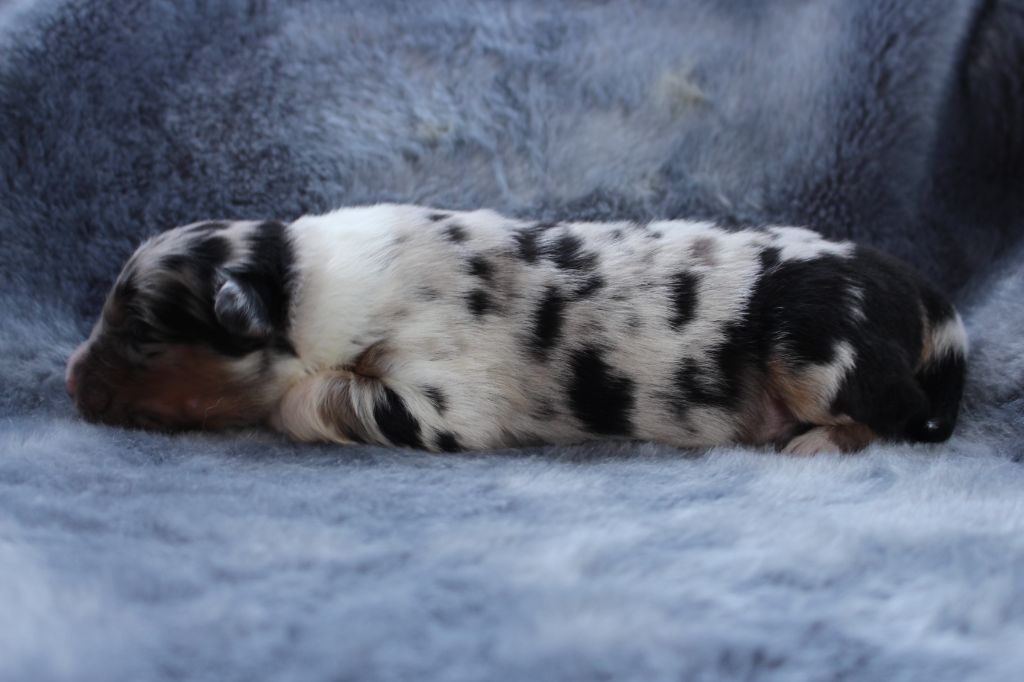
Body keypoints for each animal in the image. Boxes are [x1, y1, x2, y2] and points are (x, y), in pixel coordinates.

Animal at [66, 204, 966, 454]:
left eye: (142, 334)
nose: (67, 382)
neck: (300, 280)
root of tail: (916, 289)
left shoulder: (442, 404)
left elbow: (306, 399)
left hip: (812, 346)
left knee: (898, 415)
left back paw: (812, 448)